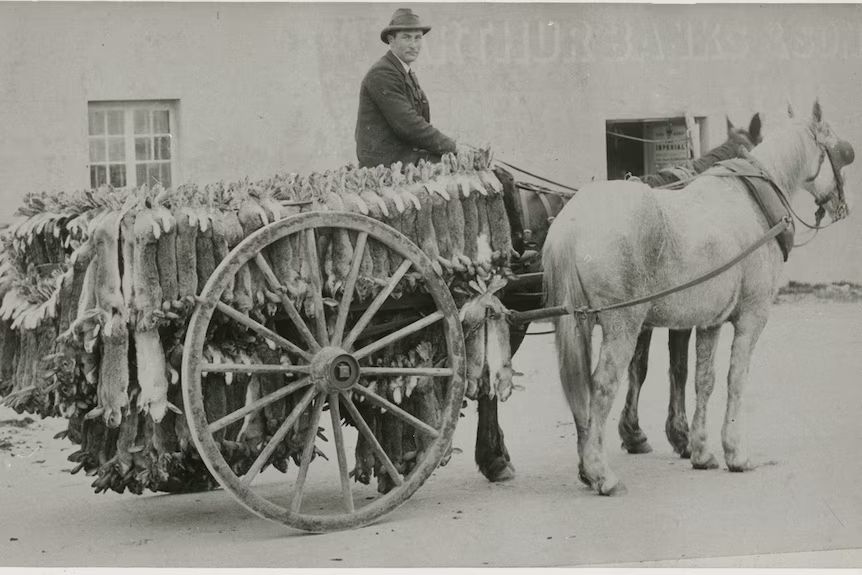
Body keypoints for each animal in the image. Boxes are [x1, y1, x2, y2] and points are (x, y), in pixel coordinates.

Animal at [476, 112, 768, 482]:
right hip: (511, 320)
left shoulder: (641, 314)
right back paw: (494, 458)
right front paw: (679, 436)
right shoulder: (678, 313)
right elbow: (677, 368)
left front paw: (633, 434)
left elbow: (638, 367)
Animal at [548, 102, 856, 496]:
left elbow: (703, 379)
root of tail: (573, 220)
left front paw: (701, 451)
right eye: (842, 152)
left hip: (580, 324)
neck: (755, 202)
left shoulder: (710, 321)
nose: (842, 205)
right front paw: (735, 452)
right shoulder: (751, 318)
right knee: (602, 386)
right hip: (623, 325)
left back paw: (588, 469)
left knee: (582, 391)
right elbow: (735, 379)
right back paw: (603, 474)